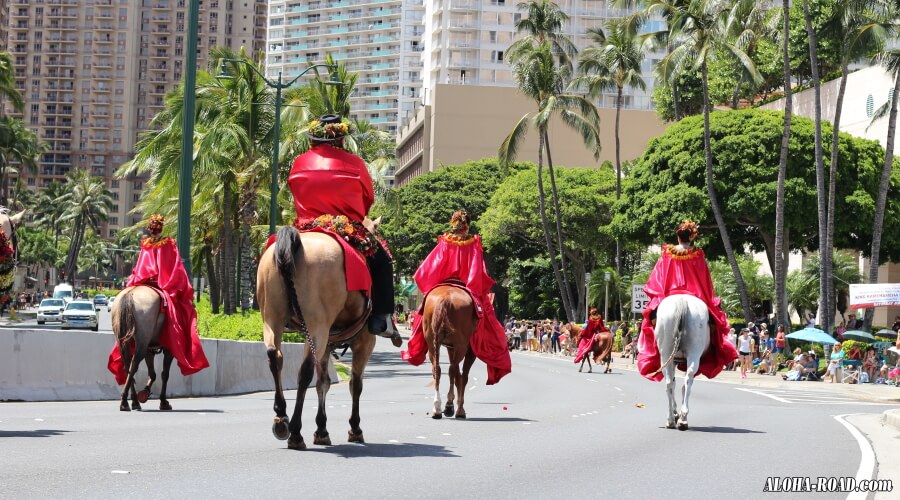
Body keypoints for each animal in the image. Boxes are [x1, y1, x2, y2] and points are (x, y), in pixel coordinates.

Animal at [256, 219, 380, 450]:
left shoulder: (326, 341)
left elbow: (324, 382)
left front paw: (321, 429)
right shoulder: (365, 341)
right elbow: (355, 384)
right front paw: (354, 428)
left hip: (272, 318)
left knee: (274, 356)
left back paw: (281, 416)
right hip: (317, 327)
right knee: (305, 372)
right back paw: (295, 432)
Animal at [422, 284, 478, 420]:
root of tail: (445, 298)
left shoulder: (450, 348)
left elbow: (458, 376)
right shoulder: (469, 351)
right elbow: (463, 377)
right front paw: (459, 409)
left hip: (432, 343)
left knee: (437, 369)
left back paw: (437, 408)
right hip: (461, 345)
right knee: (452, 370)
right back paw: (448, 406)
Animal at [652, 294, 712, 432]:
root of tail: (682, 300)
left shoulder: (672, 361)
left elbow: (674, 384)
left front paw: (675, 413)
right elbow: (681, 386)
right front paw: (678, 414)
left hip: (666, 354)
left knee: (670, 383)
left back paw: (671, 420)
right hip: (693, 353)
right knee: (687, 380)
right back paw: (683, 418)